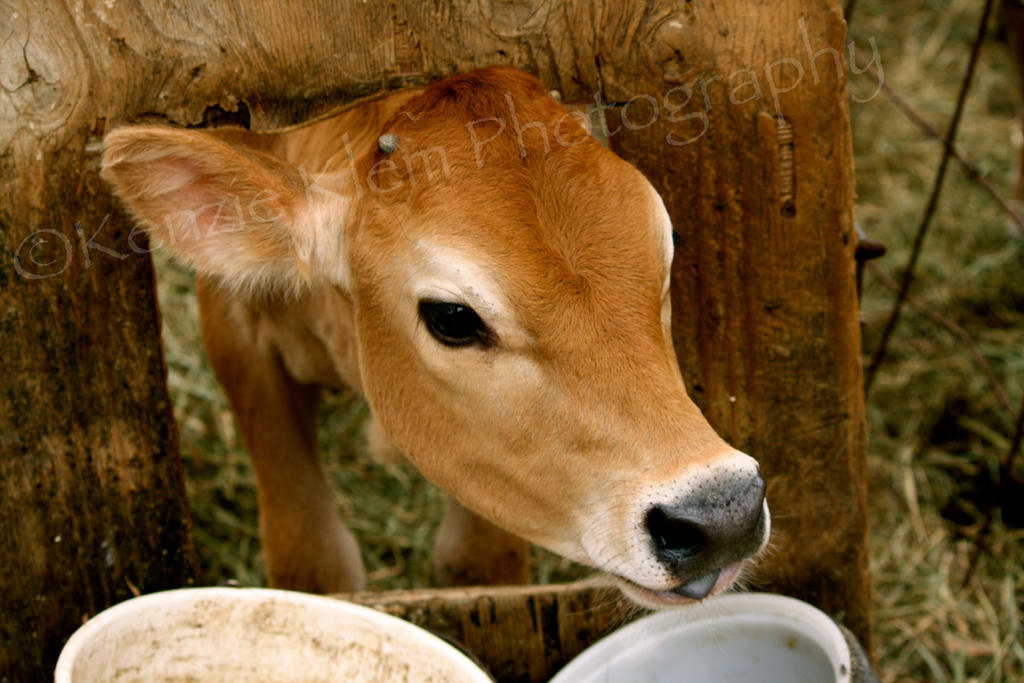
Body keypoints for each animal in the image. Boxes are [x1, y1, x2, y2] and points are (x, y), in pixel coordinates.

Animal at [100, 66, 769, 608]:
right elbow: (314, 568)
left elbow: (478, 564)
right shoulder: (234, 326)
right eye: (451, 317)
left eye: (668, 241)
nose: (723, 514)